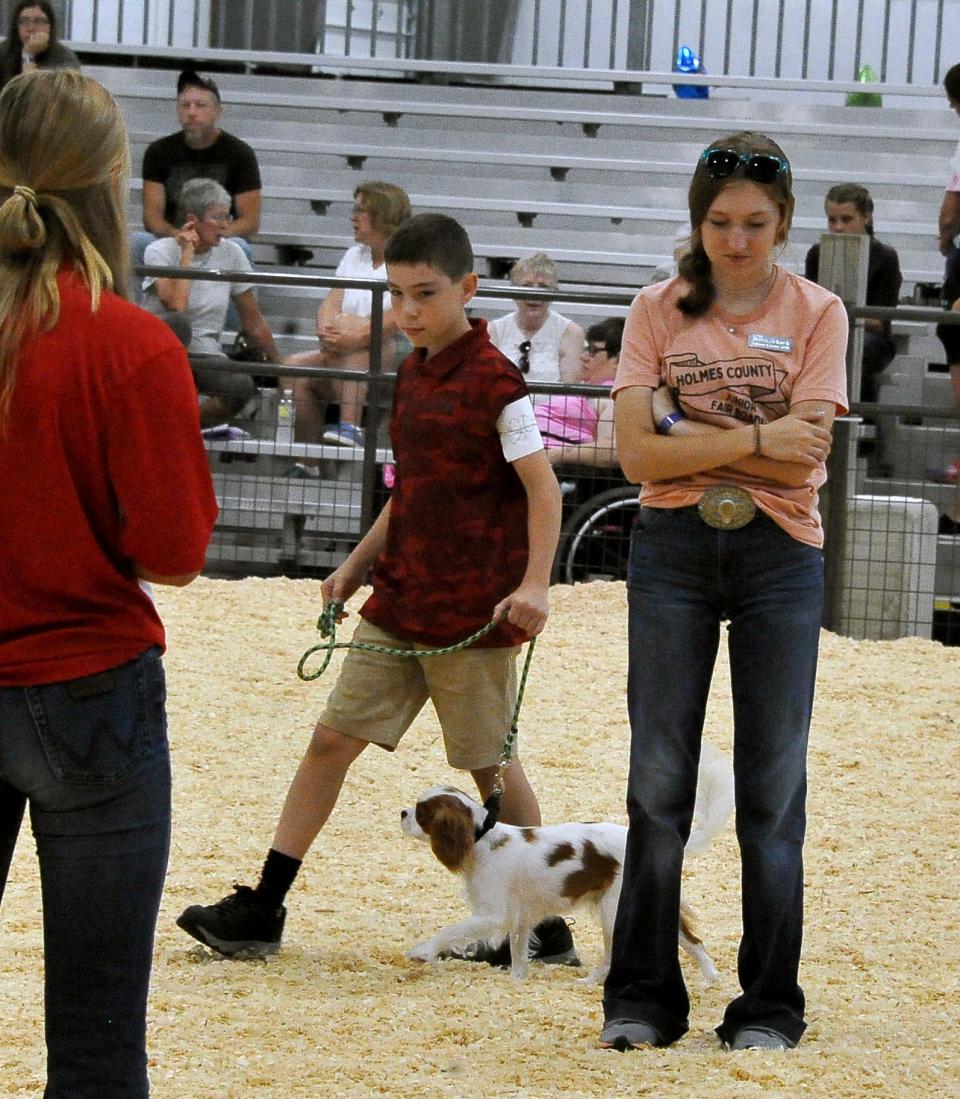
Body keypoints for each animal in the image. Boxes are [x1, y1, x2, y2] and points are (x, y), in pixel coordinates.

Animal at [399, 742, 729, 984]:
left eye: (421, 813)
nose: (402, 812)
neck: (482, 839)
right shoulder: (521, 919)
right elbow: (518, 952)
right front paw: (517, 981)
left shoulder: (492, 916)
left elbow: (450, 931)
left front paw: (422, 952)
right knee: (691, 940)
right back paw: (710, 978)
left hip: (614, 911)